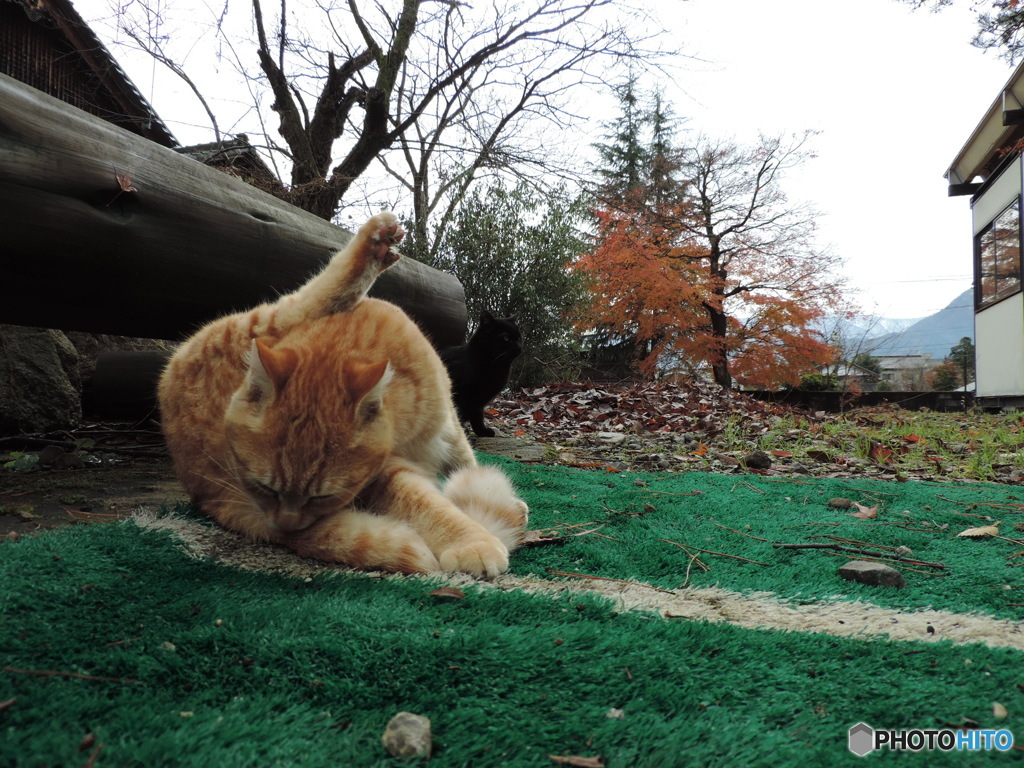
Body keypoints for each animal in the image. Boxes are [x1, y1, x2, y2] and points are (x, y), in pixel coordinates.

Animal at [161, 211, 528, 577]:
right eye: (264, 488)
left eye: (321, 497)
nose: (287, 526)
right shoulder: (385, 473)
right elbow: (429, 506)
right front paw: (472, 540)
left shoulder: (447, 426)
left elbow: (465, 461)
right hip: (253, 327)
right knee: (311, 296)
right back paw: (373, 245)